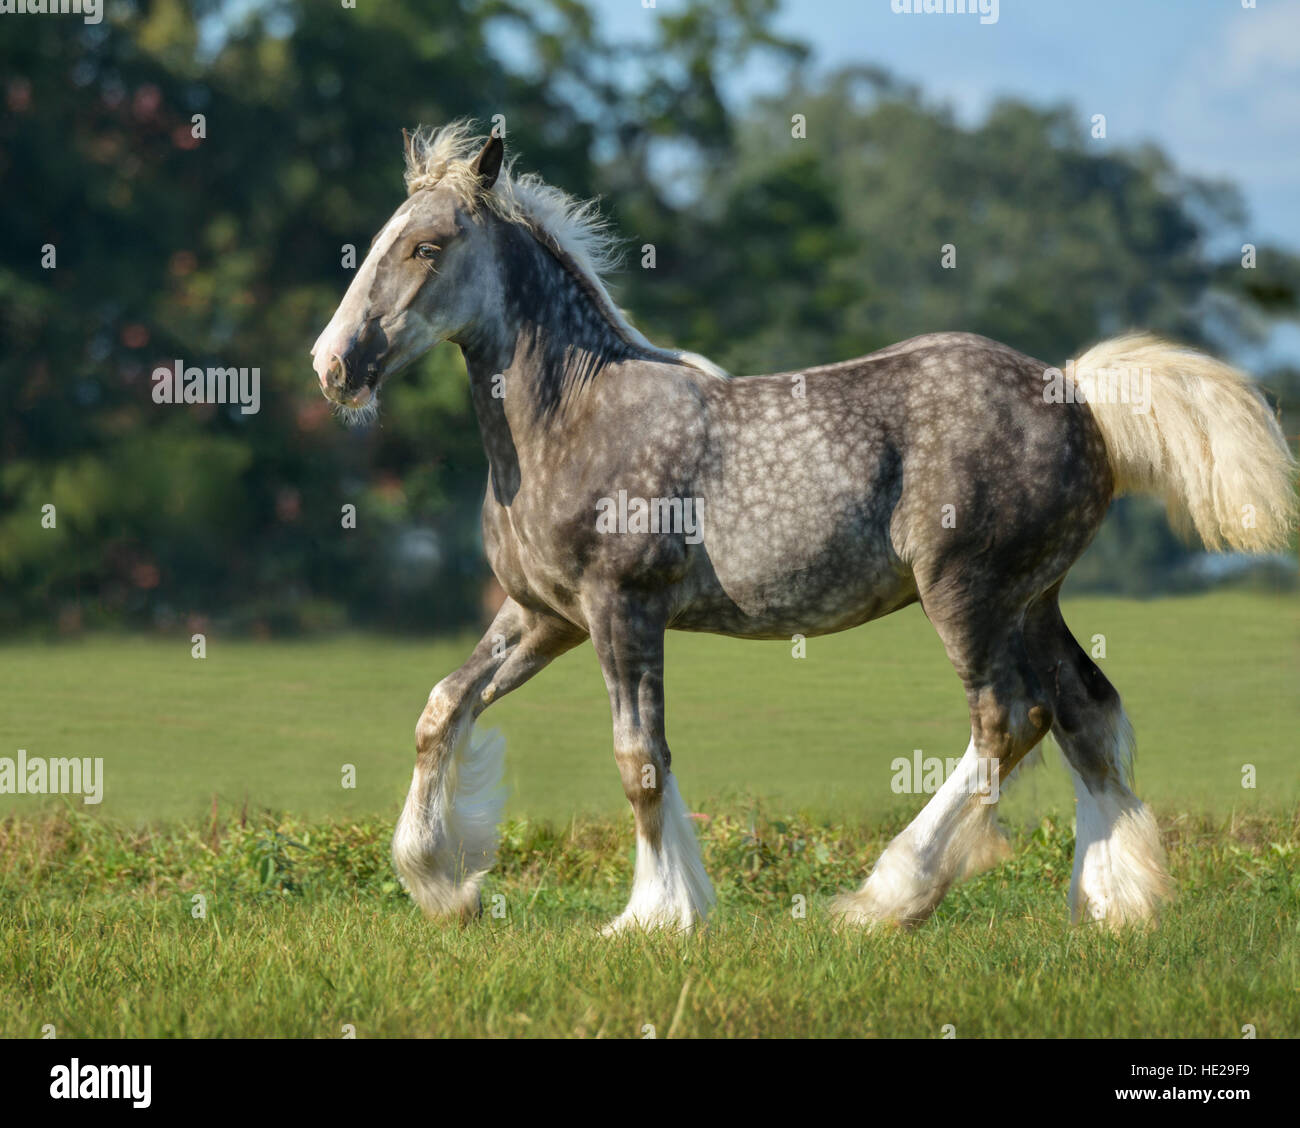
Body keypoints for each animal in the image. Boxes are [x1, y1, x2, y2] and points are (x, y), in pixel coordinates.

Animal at [310, 121, 1297, 933]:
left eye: (428, 246)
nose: (334, 366)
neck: (572, 418)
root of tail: (1078, 391)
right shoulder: (544, 615)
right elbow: (444, 708)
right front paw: (443, 885)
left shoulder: (622, 609)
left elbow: (638, 758)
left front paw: (656, 917)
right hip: (1033, 598)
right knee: (1086, 713)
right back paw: (1116, 905)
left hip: (966, 592)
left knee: (1009, 718)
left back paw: (884, 902)